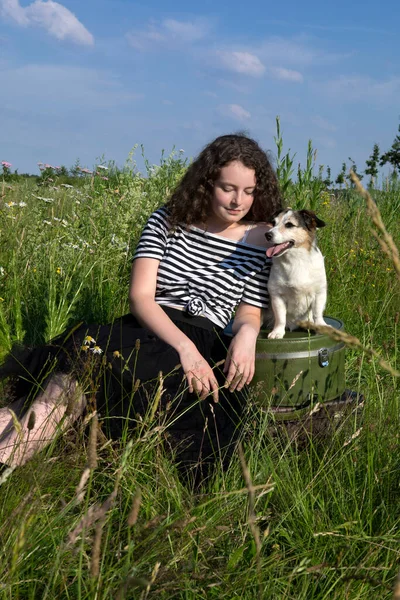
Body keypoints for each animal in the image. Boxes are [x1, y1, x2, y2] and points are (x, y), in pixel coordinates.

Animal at [264, 207, 326, 338]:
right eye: (273, 223)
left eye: (289, 225)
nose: (267, 234)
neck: (297, 260)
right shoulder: (277, 296)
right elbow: (280, 317)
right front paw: (277, 332)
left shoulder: (320, 293)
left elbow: (317, 313)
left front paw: (321, 325)